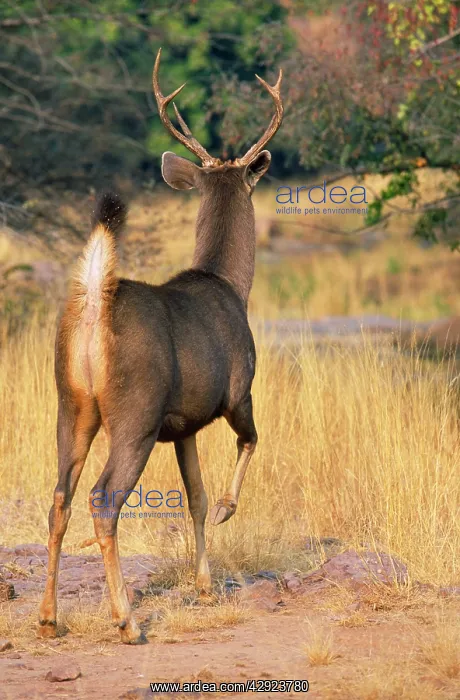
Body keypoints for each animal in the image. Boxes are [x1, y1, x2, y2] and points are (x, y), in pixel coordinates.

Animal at [38, 48, 283, 645]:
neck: (229, 285)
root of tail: (95, 306)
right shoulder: (236, 390)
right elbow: (250, 444)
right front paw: (228, 511)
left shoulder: (184, 424)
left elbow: (193, 496)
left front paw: (204, 584)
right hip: (136, 410)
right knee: (102, 499)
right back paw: (127, 621)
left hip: (71, 403)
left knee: (59, 498)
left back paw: (49, 618)